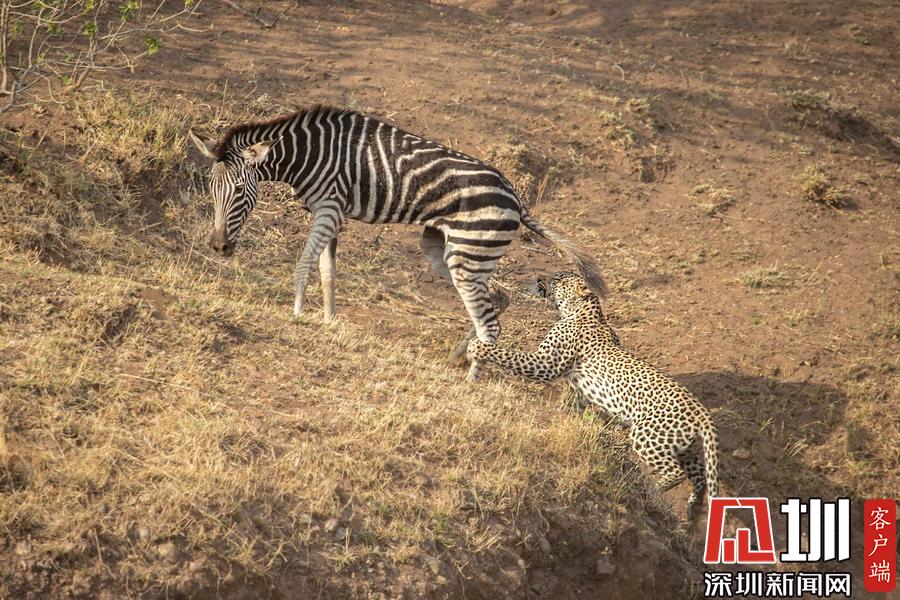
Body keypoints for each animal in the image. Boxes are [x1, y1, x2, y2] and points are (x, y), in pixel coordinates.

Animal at [189, 104, 604, 380]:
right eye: (210, 187)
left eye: (239, 190)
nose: (219, 247)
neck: (310, 153)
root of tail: (516, 197)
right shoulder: (332, 212)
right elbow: (327, 271)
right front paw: (329, 321)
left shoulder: (328, 208)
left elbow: (305, 264)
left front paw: (296, 314)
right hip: (451, 252)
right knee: (497, 299)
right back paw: (459, 358)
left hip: (468, 256)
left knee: (490, 324)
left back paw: (473, 381)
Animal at [468, 272, 720, 516]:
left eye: (557, 279)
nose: (540, 278)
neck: (582, 311)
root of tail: (702, 413)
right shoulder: (577, 388)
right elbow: (569, 407)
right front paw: (563, 420)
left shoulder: (546, 363)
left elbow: (509, 355)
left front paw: (476, 347)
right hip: (682, 447)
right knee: (700, 474)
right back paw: (692, 507)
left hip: (647, 435)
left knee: (676, 472)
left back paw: (653, 492)